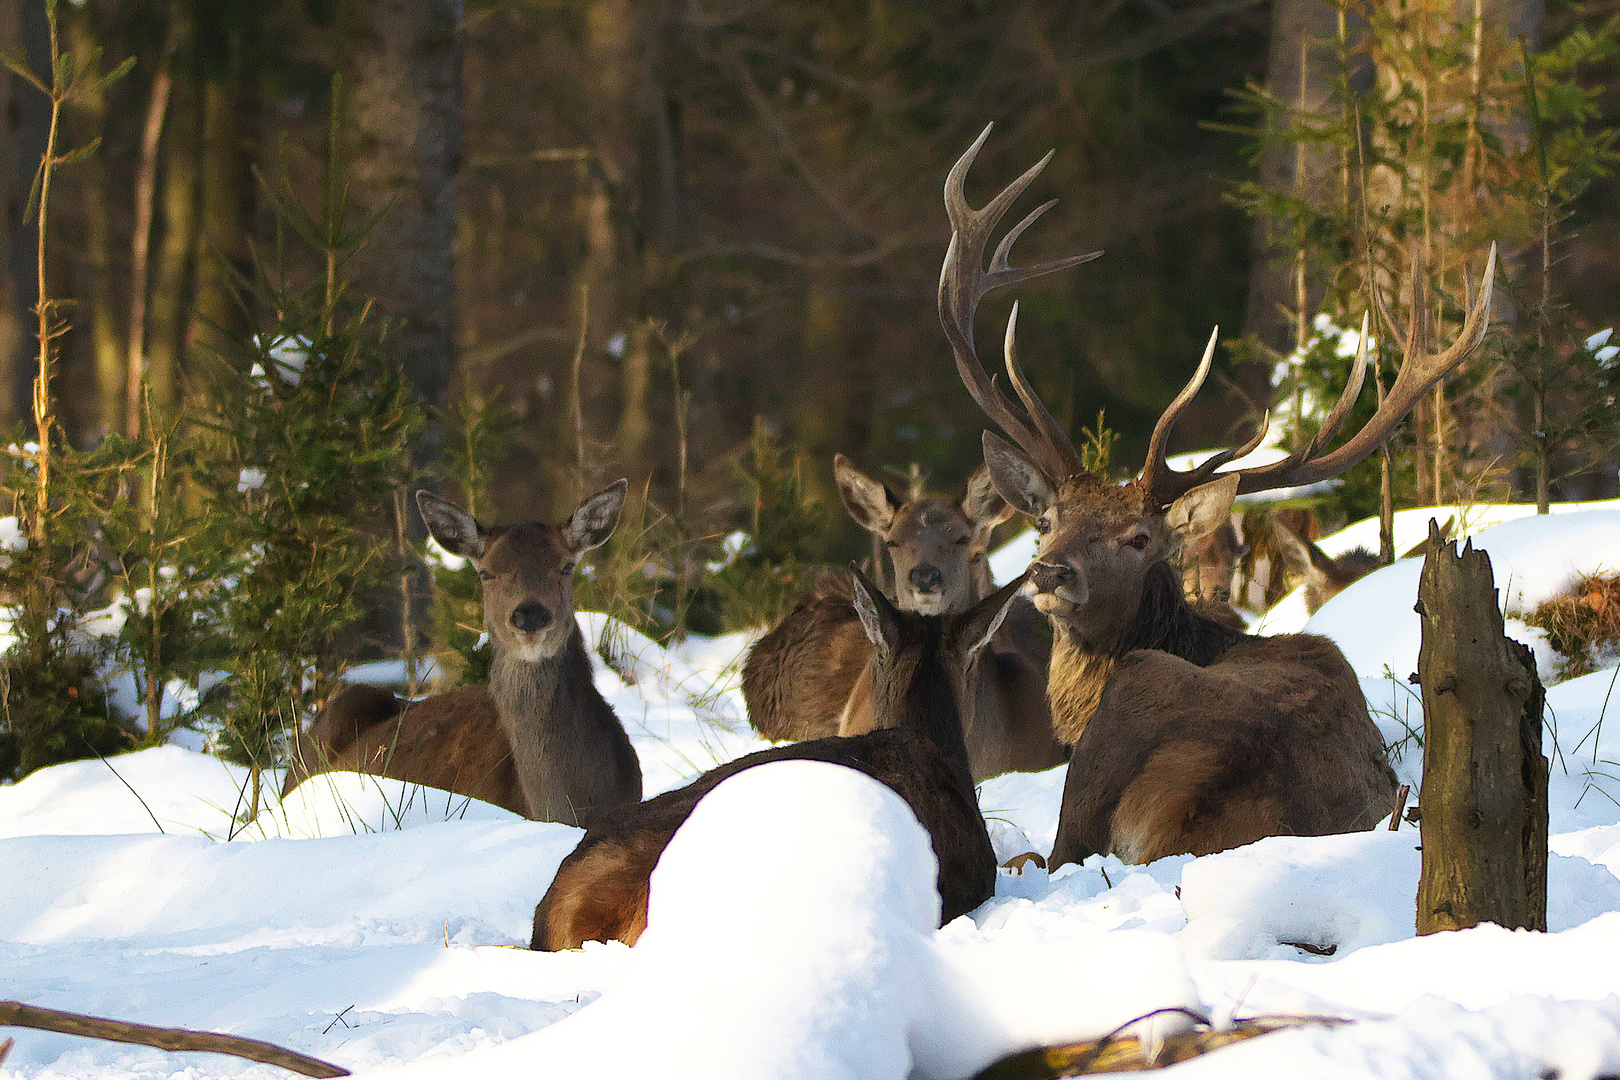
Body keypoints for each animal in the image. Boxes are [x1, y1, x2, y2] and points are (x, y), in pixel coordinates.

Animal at [939, 124, 1490, 867]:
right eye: (1047, 519)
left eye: (1139, 539)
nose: (1050, 572)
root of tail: (1187, 822)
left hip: (1123, 718)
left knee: (1050, 854)